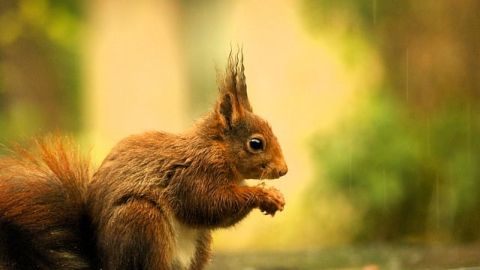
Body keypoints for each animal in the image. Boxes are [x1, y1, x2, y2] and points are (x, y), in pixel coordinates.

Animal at [0, 51, 284, 270]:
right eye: (255, 144)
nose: (284, 170)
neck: (215, 148)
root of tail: (103, 262)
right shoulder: (192, 174)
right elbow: (207, 203)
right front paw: (265, 195)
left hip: (199, 244)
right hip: (143, 221)